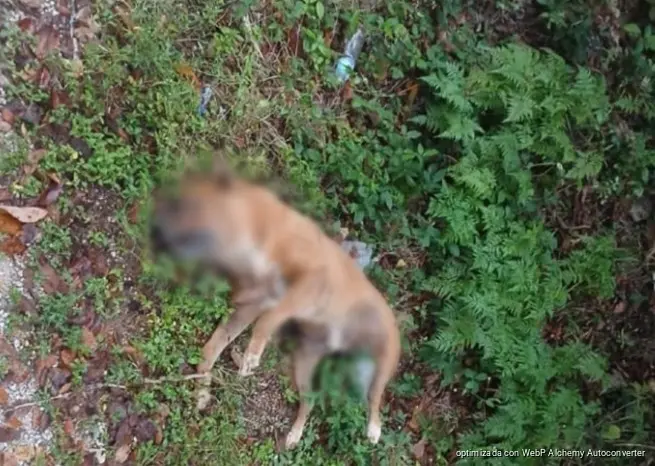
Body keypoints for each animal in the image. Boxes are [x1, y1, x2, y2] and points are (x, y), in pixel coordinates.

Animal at [150, 167, 401, 449]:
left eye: (186, 206)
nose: (155, 231)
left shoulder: (306, 285)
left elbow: (267, 320)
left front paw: (251, 356)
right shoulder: (255, 302)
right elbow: (215, 344)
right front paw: (203, 387)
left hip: (381, 364)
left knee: (375, 400)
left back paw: (373, 429)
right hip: (304, 365)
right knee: (309, 403)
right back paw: (294, 436)